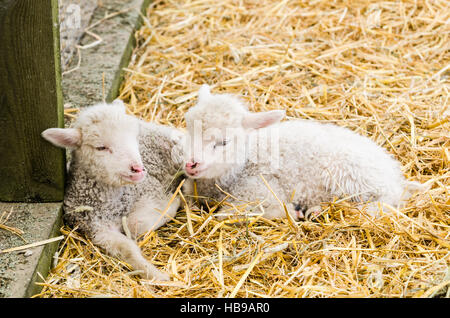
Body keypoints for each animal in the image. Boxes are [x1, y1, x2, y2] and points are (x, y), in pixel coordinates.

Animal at [40, 100, 185, 280]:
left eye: (133, 138)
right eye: (101, 147)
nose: (138, 168)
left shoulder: (152, 191)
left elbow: (135, 223)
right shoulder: (98, 229)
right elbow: (127, 248)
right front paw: (157, 276)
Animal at [182, 84, 426, 221]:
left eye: (223, 142)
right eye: (188, 128)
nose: (191, 164)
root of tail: (395, 174)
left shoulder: (257, 191)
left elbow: (226, 215)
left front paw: (291, 212)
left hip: (352, 175)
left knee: (385, 202)